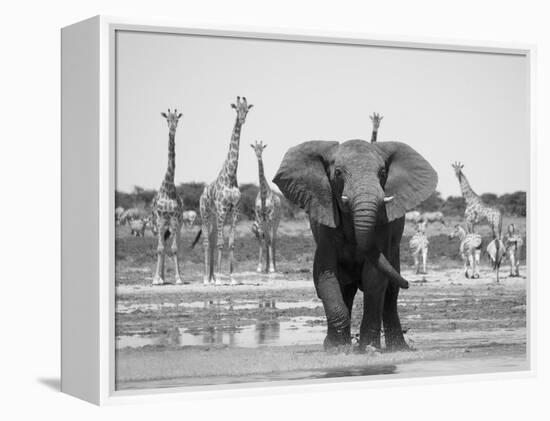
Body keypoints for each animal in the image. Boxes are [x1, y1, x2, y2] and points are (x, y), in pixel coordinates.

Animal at [196, 96, 254, 286]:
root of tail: (202, 194)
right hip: (205, 214)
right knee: (207, 242)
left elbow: (231, 242)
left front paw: (232, 278)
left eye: (247, 110)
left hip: (214, 217)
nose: (242, 119)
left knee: (213, 240)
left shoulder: (235, 210)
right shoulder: (222, 209)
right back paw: (206, 279)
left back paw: (212, 277)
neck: (230, 175)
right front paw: (221, 279)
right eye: (237, 109)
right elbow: (221, 243)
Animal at [276, 139, 440, 350]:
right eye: (338, 173)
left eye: (382, 173)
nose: (409, 283)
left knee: (390, 293)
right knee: (347, 288)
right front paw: (336, 349)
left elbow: (374, 277)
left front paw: (368, 348)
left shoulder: (383, 225)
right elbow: (325, 273)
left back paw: (398, 348)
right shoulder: (325, 224)